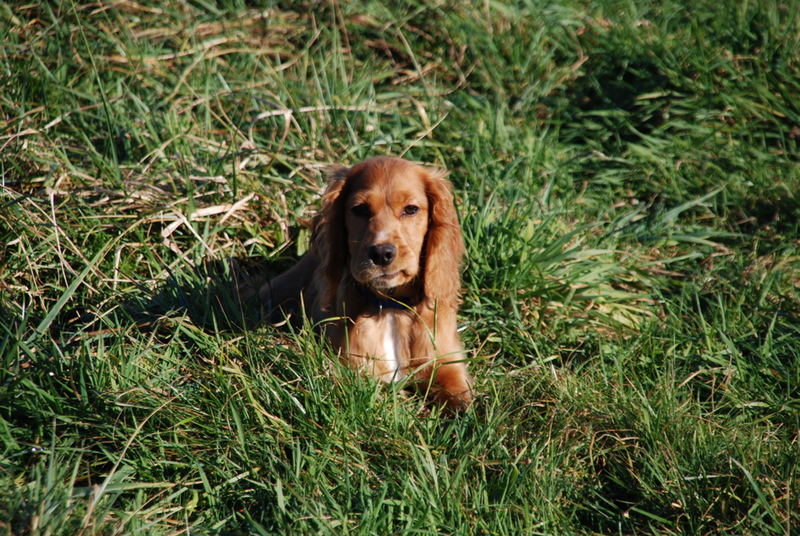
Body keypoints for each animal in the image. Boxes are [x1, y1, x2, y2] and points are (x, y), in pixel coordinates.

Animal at [262, 155, 476, 410]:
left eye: (411, 209)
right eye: (360, 210)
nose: (381, 253)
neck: (391, 307)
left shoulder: (446, 360)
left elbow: (460, 396)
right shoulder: (353, 370)